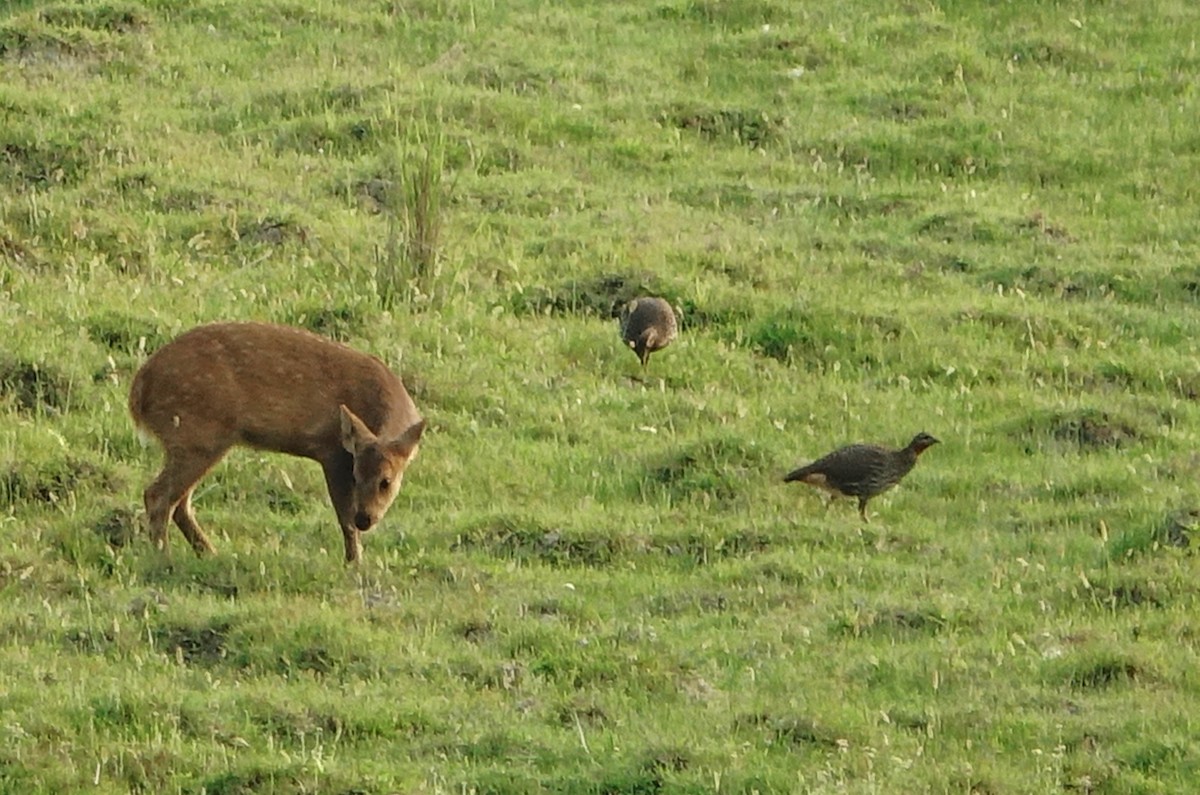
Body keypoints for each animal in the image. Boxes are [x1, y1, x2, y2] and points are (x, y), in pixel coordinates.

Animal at [126, 321, 424, 564]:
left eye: (386, 481)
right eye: (357, 475)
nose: (365, 518)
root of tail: (138, 391)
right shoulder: (331, 451)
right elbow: (343, 516)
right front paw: (355, 564)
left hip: (194, 441)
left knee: (179, 502)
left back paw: (208, 552)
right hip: (198, 434)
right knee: (158, 495)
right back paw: (164, 557)